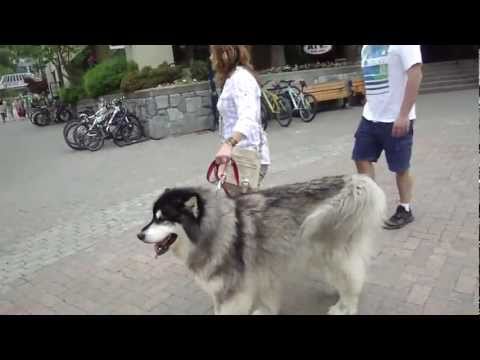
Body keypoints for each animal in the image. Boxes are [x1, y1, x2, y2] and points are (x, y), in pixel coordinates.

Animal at [138, 175, 386, 316]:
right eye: (152, 217)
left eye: (162, 219)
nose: (139, 235)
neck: (216, 230)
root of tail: (350, 181)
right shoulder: (263, 270)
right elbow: (267, 298)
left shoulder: (231, 291)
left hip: (332, 252)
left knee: (352, 281)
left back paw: (345, 307)